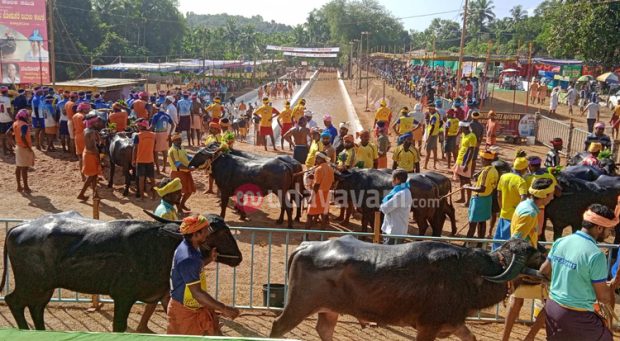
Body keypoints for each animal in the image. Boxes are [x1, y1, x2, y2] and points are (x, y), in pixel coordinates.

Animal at [0, 211, 242, 330]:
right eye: (220, 233)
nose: (238, 257)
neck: (164, 245)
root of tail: (19, 227)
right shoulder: (123, 296)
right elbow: (119, 325)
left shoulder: (164, 294)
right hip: (31, 284)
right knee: (14, 301)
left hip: (45, 287)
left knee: (36, 307)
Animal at [270, 236, 544, 340]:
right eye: (536, 255)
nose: (549, 260)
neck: (472, 274)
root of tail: (306, 246)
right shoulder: (428, 326)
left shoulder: (454, 322)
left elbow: (471, 337)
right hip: (298, 306)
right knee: (278, 327)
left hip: (329, 311)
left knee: (324, 329)